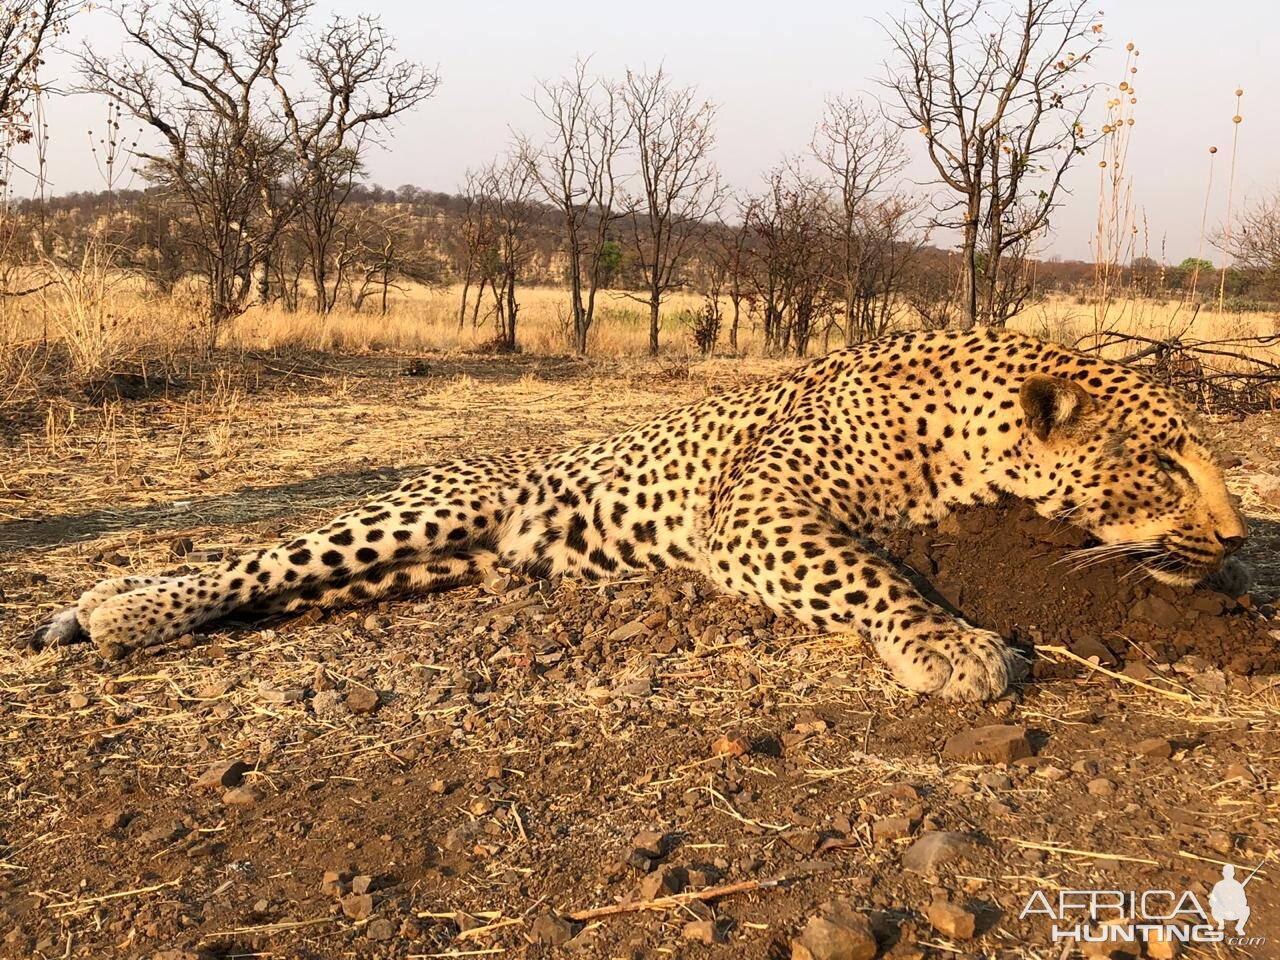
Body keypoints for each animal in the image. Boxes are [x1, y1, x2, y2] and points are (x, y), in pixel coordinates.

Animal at [32, 327, 1249, 701]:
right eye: (1163, 460)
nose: (1240, 541)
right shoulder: (754, 513)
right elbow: (872, 576)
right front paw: (950, 647)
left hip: (445, 564)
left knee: (282, 588)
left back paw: (102, 606)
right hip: (429, 510)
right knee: (255, 566)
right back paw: (116, 610)